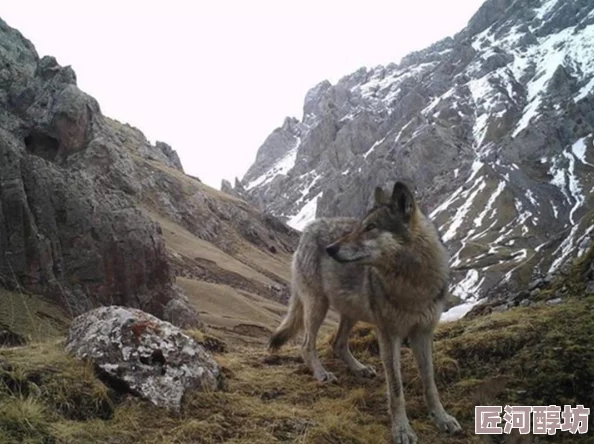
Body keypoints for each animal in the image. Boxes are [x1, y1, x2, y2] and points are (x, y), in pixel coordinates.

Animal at [268, 181, 462, 444]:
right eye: (360, 226)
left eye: (370, 227)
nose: (330, 249)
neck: (412, 283)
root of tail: (309, 228)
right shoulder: (389, 335)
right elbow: (396, 388)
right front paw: (402, 429)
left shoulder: (423, 333)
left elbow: (430, 382)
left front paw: (442, 418)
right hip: (318, 306)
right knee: (307, 345)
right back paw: (322, 373)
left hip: (351, 312)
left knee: (338, 343)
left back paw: (359, 369)